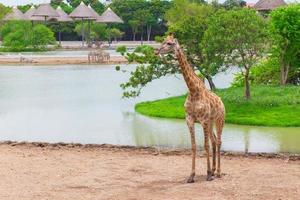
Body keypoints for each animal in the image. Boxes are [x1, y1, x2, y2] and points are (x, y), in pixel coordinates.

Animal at [157, 34, 225, 183]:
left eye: (169, 43)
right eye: (162, 41)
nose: (157, 51)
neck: (193, 91)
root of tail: (221, 101)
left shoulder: (203, 120)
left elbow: (204, 145)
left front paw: (207, 174)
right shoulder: (189, 119)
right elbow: (193, 147)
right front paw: (192, 176)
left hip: (219, 120)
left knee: (218, 141)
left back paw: (217, 172)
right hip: (210, 122)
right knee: (214, 140)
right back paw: (214, 170)